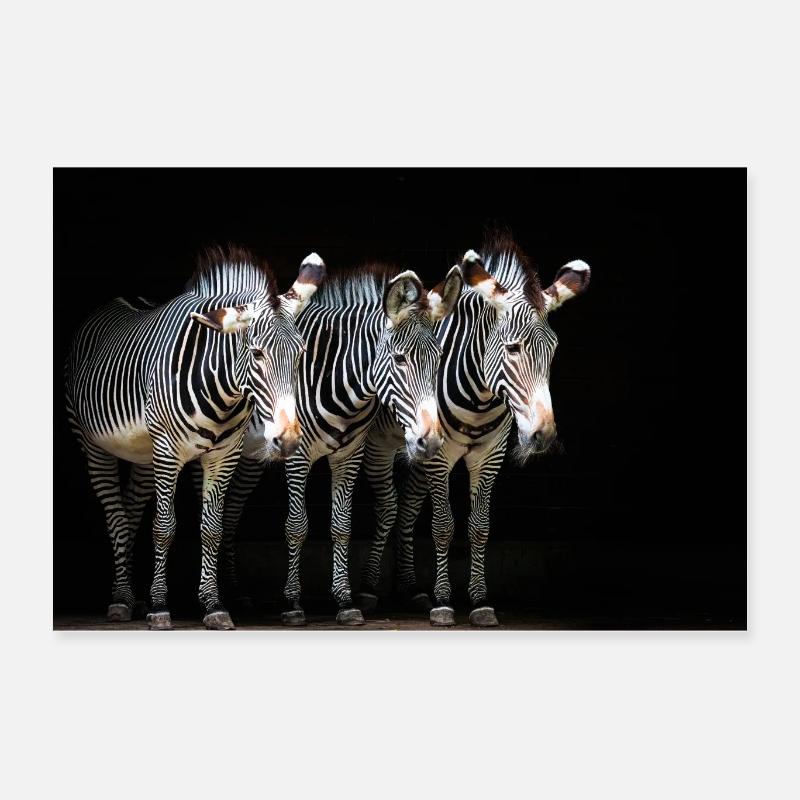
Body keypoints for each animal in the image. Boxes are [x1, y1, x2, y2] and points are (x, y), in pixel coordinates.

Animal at [64, 246, 324, 630]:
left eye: (301, 354)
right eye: (257, 353)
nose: (288, 440)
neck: (223, 392)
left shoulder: (224, 455)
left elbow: (212, 528)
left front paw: (213, 604)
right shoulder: (168, 452)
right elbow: (163, 527)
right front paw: (160, 607)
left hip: (143, 454)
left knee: (130, 511)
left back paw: (131, 596)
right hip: (96, 446)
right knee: (115, 517)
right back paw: (122, 599)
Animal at [216, 262, 464, 625]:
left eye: (439, 358)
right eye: (400, 359)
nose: (429, 440)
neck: (337, 380)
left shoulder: (350, 455)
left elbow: (341, 526)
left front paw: (345, 601)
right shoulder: (298, 455)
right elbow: (296, 525)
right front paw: (293, 603)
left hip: (251, 456)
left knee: (232, 510)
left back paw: (235, 594)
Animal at [355, 232, 590, 626]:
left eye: (554, 350)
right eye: (513, 348)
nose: (543, 436)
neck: (481, 398)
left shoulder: (489, 455)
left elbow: (479, 526)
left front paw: (480, 601)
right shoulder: (439, 457)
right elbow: (443, 525)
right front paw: (444, 602)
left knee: (407, 508)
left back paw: (411, 589)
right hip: (381, 445)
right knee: (387, 508)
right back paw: (370, 589)